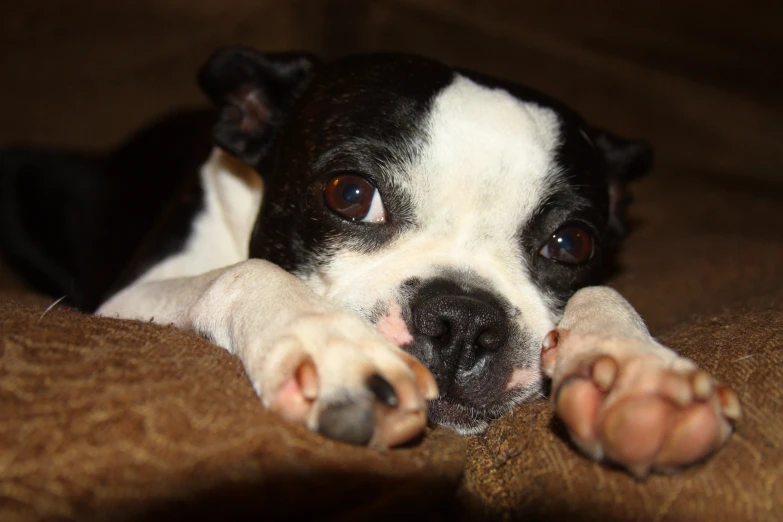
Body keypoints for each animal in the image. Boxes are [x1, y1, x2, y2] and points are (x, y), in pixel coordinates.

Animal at [0, 47, 740, 476]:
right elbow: (244, 270)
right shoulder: (128, 297)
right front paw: (328, 347)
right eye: (350, 195)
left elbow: (604, 296)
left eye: (572, 245)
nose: (463, 321)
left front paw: (636, 374)